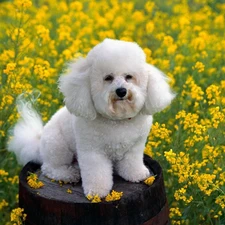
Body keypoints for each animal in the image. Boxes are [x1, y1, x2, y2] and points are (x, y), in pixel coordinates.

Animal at [7, 38, 175, 197]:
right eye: (108, 78)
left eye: (129, 77)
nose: (121, 91)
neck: (117, 120)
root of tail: (38, 143)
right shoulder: (93, 152)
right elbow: (97, 173)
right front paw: (97, 192)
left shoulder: (134, 147)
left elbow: (132, 163)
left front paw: (137, 174)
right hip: (58, 147)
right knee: (50, 168)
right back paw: (69, 174)